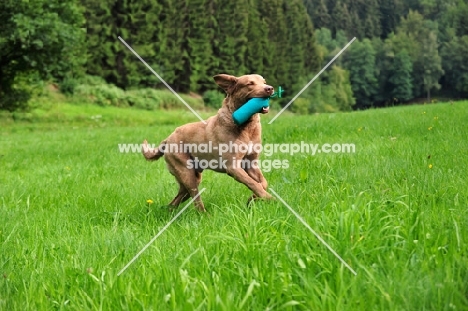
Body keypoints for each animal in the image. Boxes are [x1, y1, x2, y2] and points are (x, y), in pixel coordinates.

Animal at [144, 74, 274, 212]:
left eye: (264, 82)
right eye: (250, 83)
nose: (270, 88)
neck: (246, 127)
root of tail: (167, 139)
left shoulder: (250, 164)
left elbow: (263, 183)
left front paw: (252, 199)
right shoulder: (232, 167)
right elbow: (253, 183)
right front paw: (270, 198)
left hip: (193, 176)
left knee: (179, 196)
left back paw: (169, 210)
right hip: (187, 173)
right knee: (195, 198)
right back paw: (204, 214)